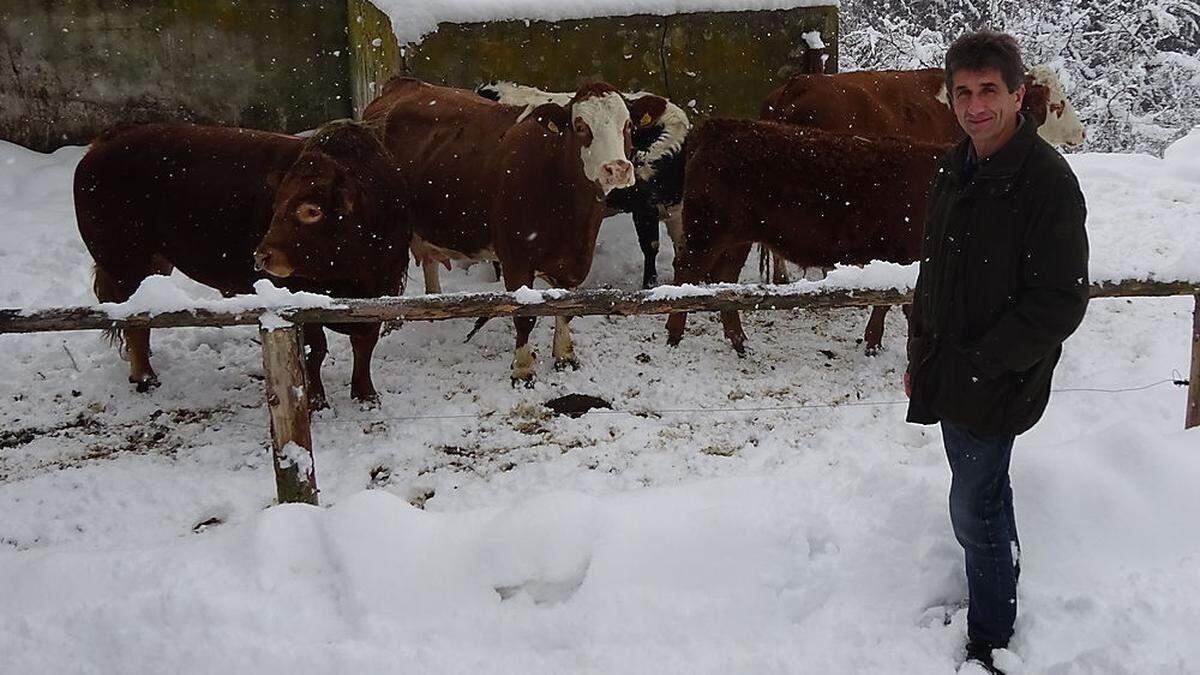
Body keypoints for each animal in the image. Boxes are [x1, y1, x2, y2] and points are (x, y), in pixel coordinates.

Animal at [76, 118, 412, 408]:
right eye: (276, 205)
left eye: (311, 210)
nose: (262, 256)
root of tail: (105, 143)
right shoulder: (299, 301)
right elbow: (314, 351)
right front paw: (316, 400)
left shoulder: (384, 289)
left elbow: (365, 344)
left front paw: (366, 395)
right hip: (125, 266)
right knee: (134, 323)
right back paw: (146, 378)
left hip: (153, 266)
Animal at [360, 77, 652, 384]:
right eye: (581, 126)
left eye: (628, 126)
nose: (617, 169)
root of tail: (403, 83)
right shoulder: (516, 257)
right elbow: (524, 315)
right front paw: (522, 370)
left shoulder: (576, 256)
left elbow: (567, 310)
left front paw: (565, 356)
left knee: (429, 264)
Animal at [667, 118, 945, 355]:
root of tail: (717, 126)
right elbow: (900, 304)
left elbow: (886, 300)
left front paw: (874, 343)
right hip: (707, 232)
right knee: (685, 272)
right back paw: (674, 336)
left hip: (736, 238)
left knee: (725, 279)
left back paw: (739, 341)